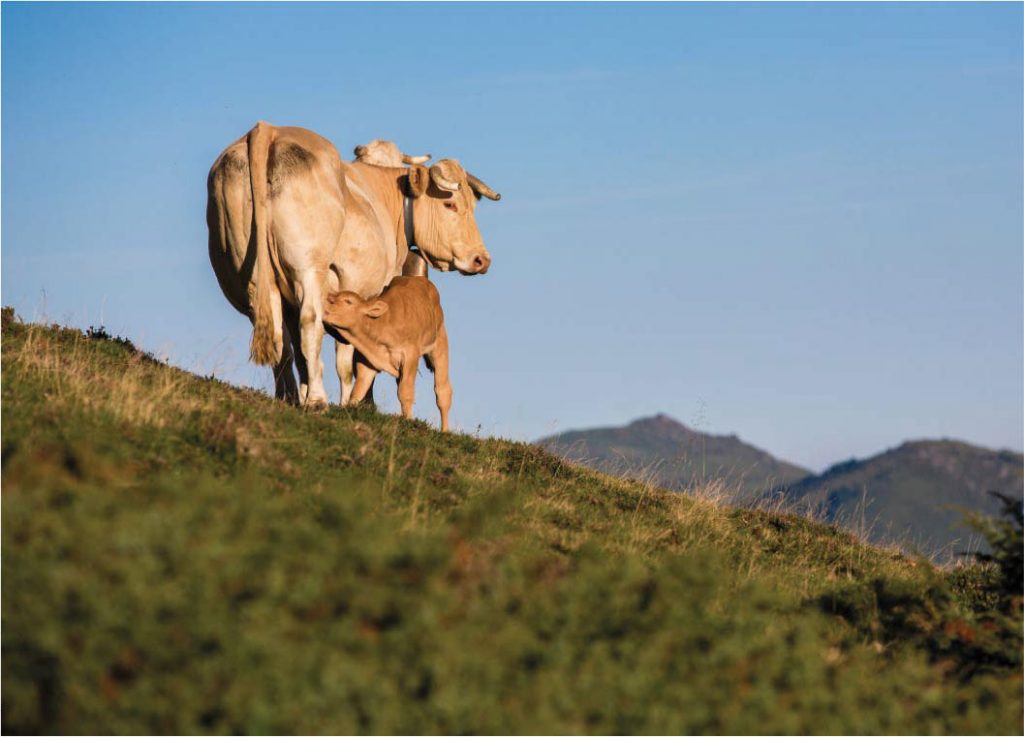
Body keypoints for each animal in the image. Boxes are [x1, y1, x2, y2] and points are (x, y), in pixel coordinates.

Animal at [205, 120, 501, 409]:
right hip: (308, 268)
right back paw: (317, 400)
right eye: (450, 205)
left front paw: (306, 393)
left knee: (279, 339)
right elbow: (353, 354)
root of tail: (268, 129)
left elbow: (300, 351)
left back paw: (287, 397)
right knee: (311, 323)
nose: (481, 259)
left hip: (249, 279)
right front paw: (356, 402)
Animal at [323, 276, 452, 431]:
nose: (326, 304)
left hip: (439, 344)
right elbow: (359, 390)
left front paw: (409, 421)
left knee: (443, 391)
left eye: (348, 301)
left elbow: (405, 391)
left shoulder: (410, 355)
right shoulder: (366, 361)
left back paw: (444, 431)